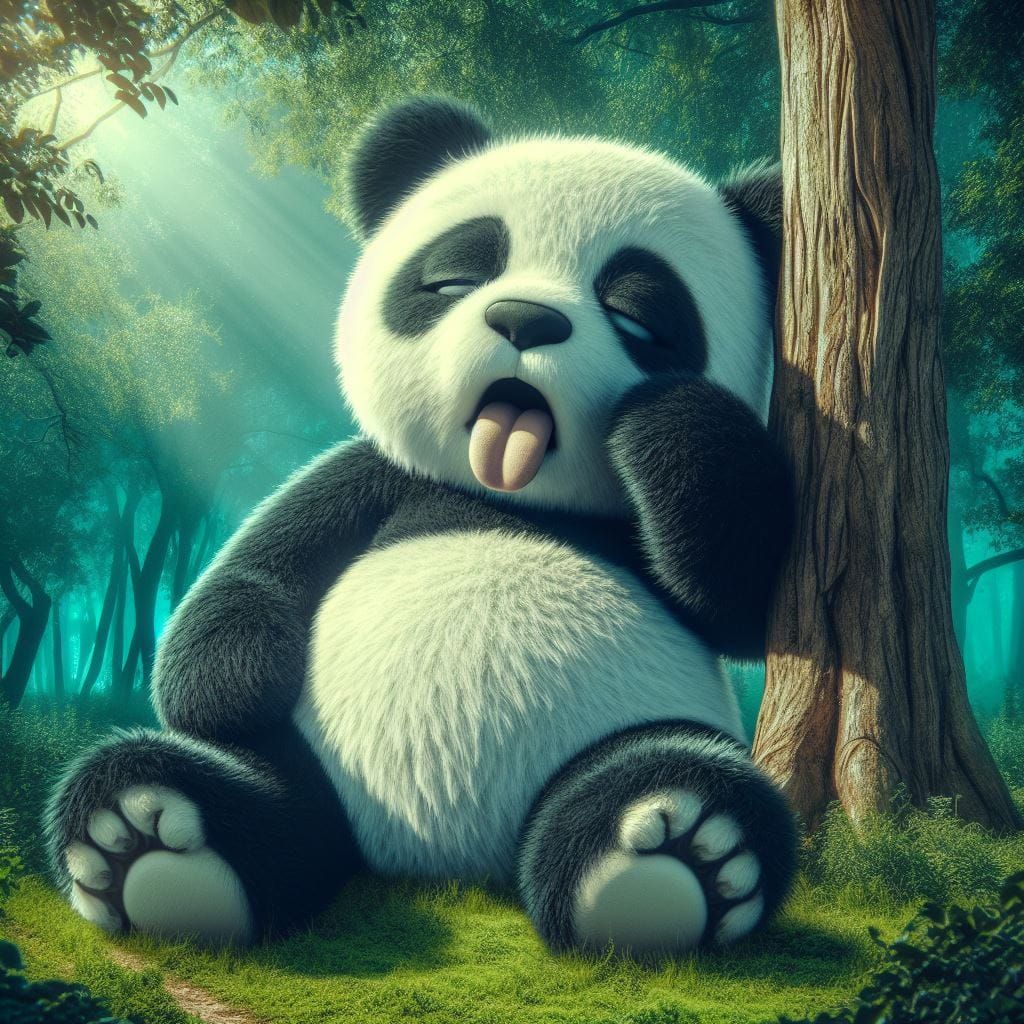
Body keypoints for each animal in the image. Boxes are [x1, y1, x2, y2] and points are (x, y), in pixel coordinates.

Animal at [47, 96, 797, 956]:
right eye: (456, 278)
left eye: (637, 315)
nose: (525, 320)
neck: (508, 497)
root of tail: (444, 861)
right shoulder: (376, 478)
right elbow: (256, 568)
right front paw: (232, 682)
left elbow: (749, 597)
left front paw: (665, 415)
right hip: (320, 763)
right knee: (269, 803)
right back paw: (146, 833)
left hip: (626, 730)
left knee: (666, 771)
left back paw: (679, 849)